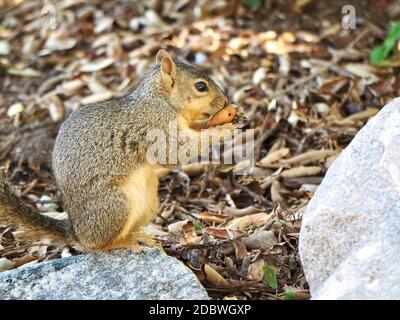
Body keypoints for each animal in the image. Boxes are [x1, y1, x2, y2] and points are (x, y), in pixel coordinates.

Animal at [0, 49, 233, 252]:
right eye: (201, 86)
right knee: (97, 244)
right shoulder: (156, 129)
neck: (159, 101)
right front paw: (222, 130)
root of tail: (77, 233)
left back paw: (137, 236)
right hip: (115, 204)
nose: (226, 101)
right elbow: (174, 152)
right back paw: (123, 242)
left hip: (148, 200)